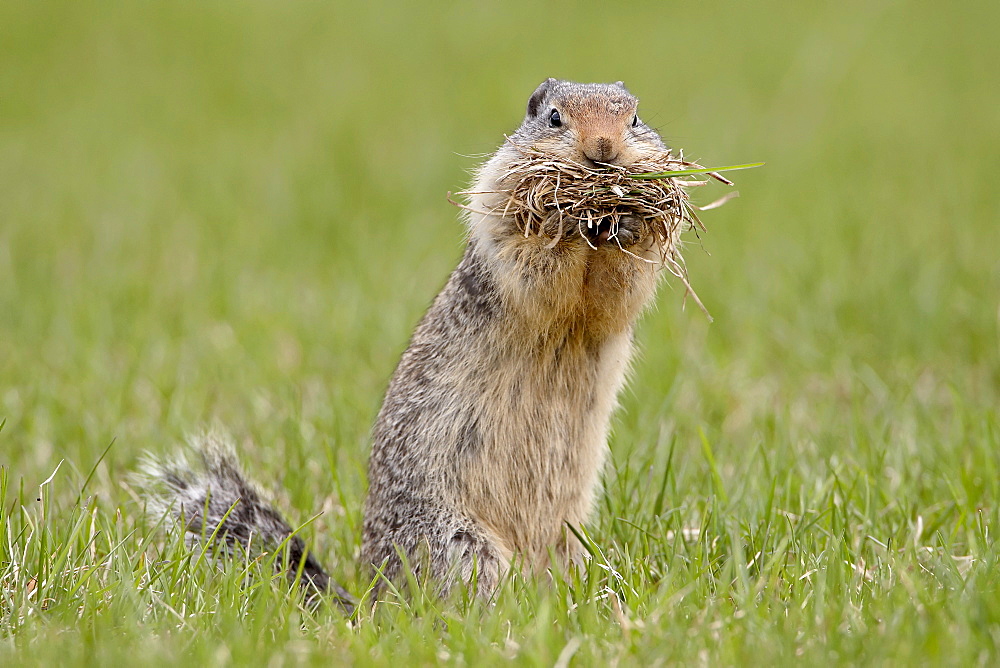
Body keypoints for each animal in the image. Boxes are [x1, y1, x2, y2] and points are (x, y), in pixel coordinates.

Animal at [139, 79, 672, 612]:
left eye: (634, 119)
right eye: (555, 117)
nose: (602, 150)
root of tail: (370, 602)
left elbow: (620, 289)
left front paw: (624, 222)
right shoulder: (500, 221)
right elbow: (541, 267)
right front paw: (568, 222)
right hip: (460, 544)